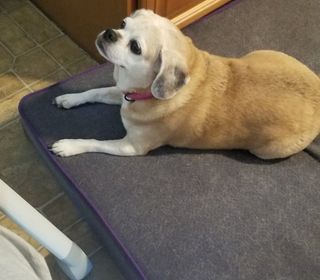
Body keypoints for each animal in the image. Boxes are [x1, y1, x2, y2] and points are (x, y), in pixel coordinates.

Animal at [51, 8, 320, 159]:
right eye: (123, 23)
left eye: (135, 47)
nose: (109, 32)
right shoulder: (124, 92)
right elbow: (95, 91)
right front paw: (70, 98)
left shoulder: (131, 147)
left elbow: (95, 142)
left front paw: (69, 145)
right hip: (261, 53)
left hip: (265, 151)